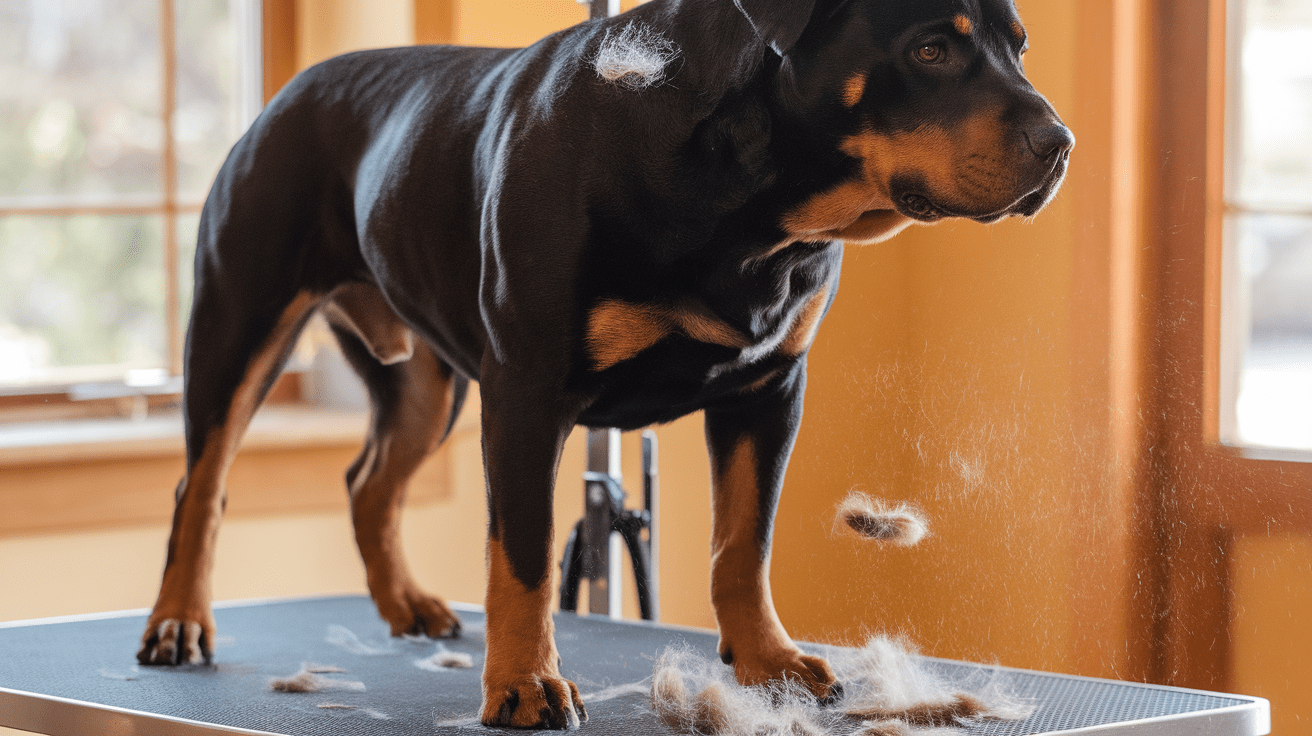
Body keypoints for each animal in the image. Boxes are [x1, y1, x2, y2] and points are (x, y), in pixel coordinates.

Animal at [138, 0, 1070, 724]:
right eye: (931, 49)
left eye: (1021, 47)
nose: (1059, 141)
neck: (752, 206)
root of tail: (288, 95)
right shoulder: (526, 390)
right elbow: (522, 555)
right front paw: (525, 684)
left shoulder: (768, 391)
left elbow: (745, 542)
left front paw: (767, 660)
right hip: (238, 326)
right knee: (201, 485)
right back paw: (178, 624)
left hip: (428, 384)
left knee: (370, 481)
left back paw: (406, 605)